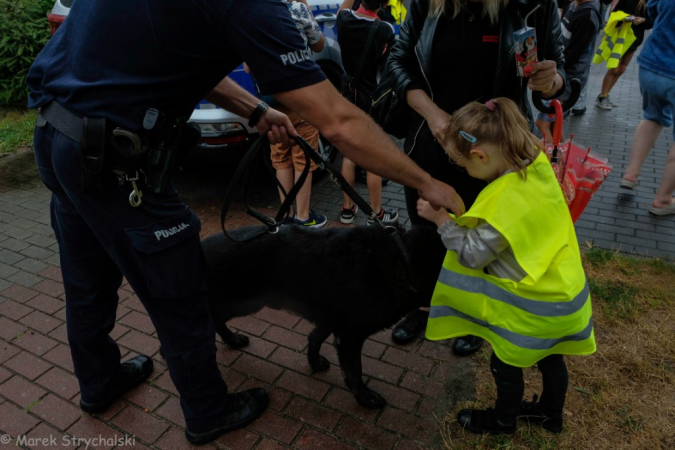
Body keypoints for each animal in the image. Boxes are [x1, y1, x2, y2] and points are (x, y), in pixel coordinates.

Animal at [201, 224, 444, 408]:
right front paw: (364, 396)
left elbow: (315, 338)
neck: (401, 260)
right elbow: (355, 371)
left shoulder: (331, 321)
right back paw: (231, 339)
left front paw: (314, 361)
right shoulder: (349, 337)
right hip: (242, 302)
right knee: (214, 318)